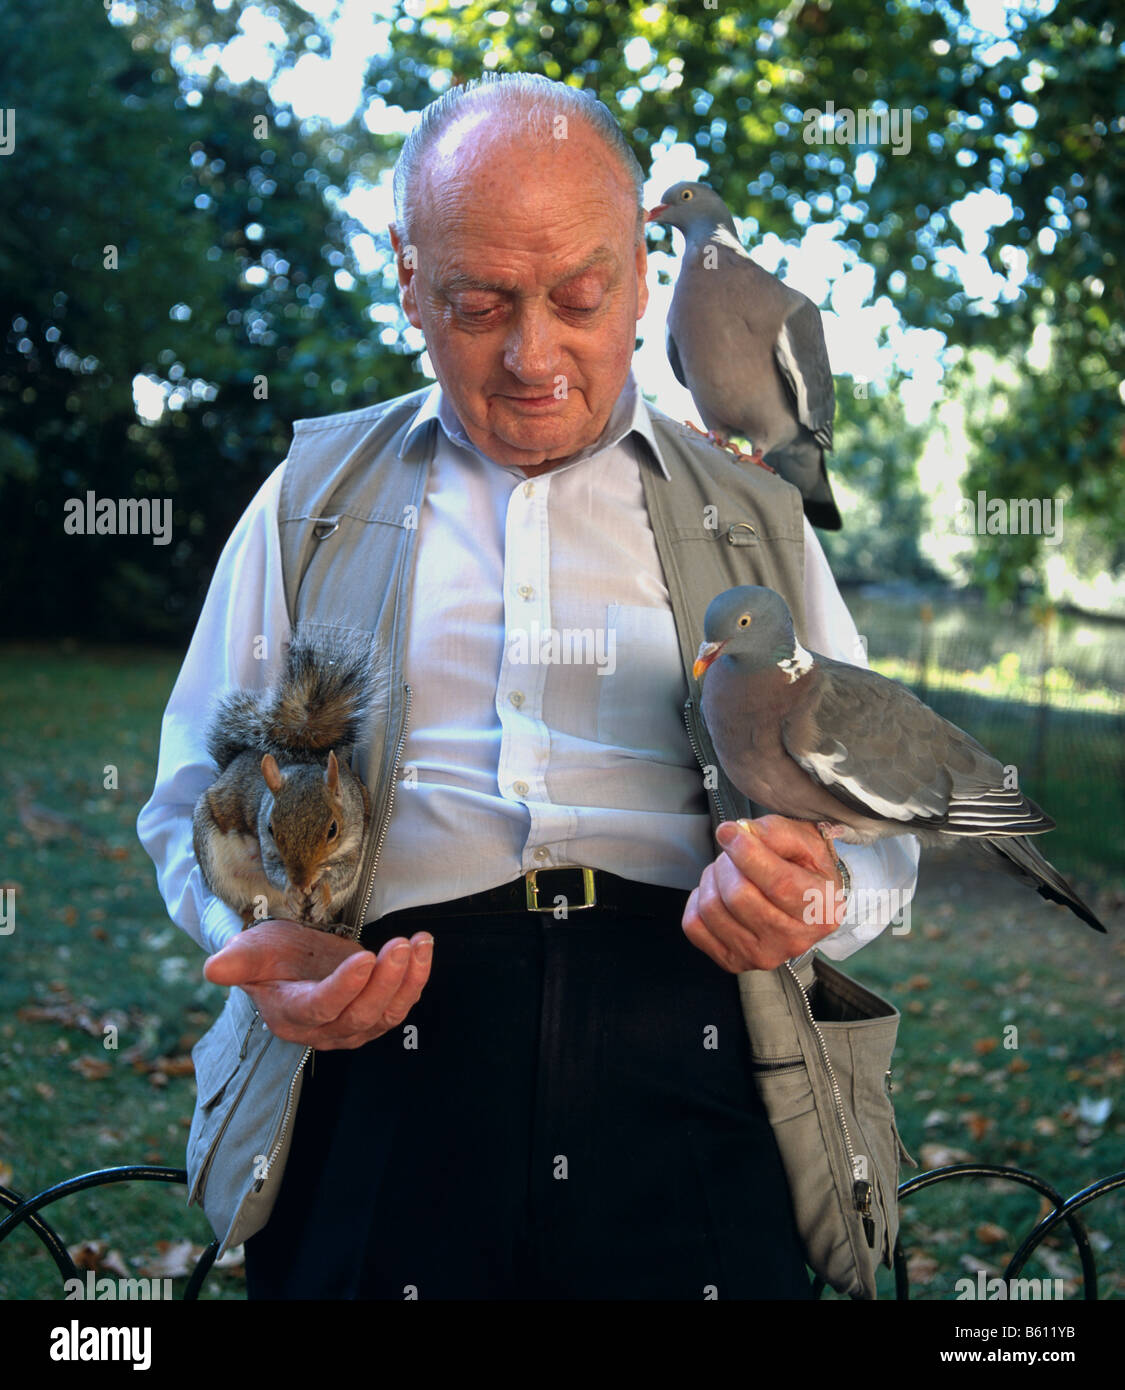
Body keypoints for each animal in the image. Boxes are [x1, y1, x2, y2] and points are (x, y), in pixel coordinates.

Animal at [191, 629, 375, 936]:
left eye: (333, 830)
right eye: (270, 828)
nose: (301, 882)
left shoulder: (357, 836)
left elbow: (342, 874)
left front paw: (322, 892)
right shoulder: (267, 845)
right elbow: (274, 871)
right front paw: (289, 888)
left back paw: (330, 926)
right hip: (215, 862)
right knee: (245, 904)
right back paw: (257, 919)